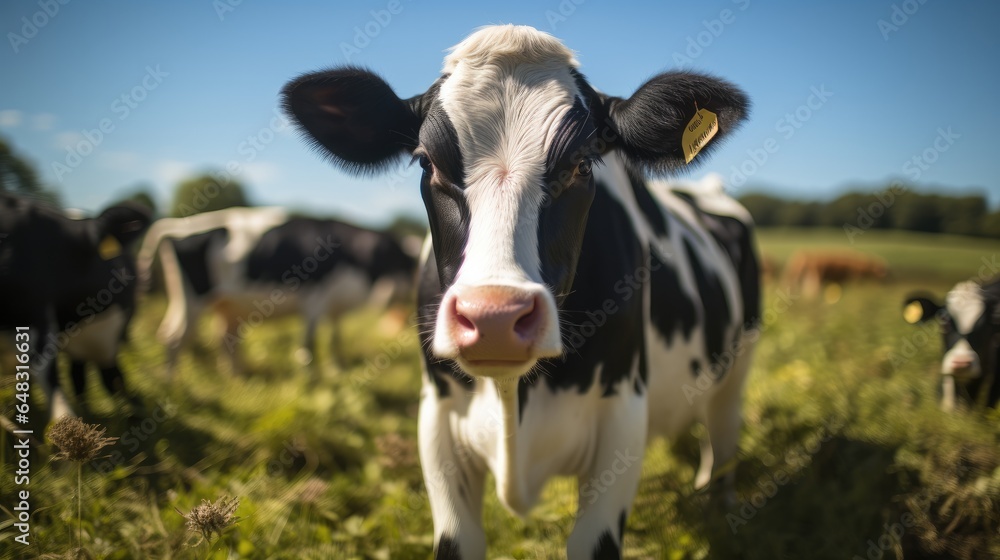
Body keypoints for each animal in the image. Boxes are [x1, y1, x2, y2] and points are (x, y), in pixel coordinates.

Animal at [136, 207, 414, 376]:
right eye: (399, 260)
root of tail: (180, 225)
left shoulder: (336, 306)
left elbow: (335, 339)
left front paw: (337, 370)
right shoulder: (315, 300)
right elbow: (309, 343)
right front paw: (310, 378)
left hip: (225, 305)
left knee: (225, 338)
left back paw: (235, 378)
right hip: (192, 299)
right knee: (174, 337)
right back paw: (171, 386)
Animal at [286, 24, 760, 556]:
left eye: (581, 164)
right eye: (427, 163)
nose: (493, 317)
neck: (515, 399)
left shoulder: (622, 416)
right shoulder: (436, 420)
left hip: (740, 364)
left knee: (723, 436)